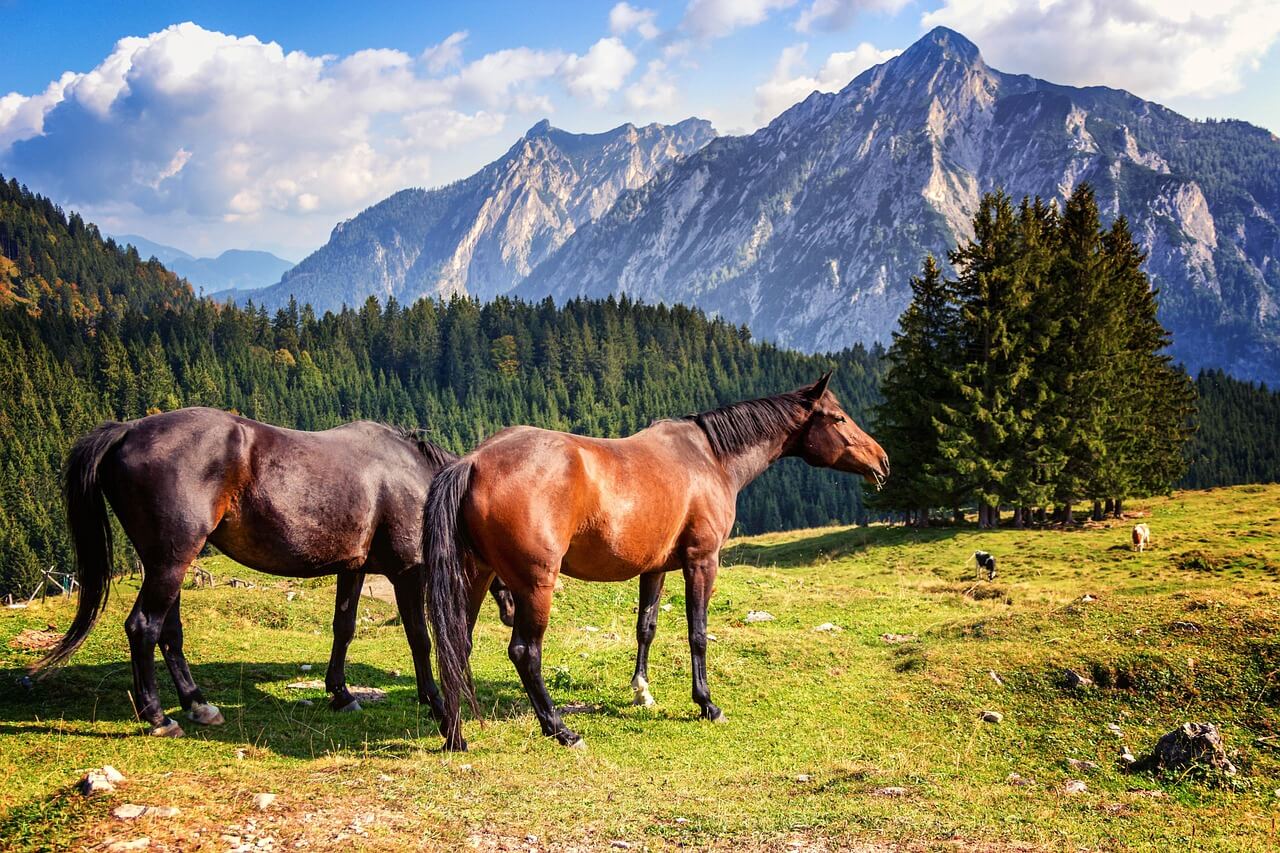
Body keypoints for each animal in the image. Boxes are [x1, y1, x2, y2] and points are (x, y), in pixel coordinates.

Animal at [30, 407, 506, 737]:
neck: (415, 478)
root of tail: (126, 430)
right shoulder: (407, 572)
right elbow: (419, 639)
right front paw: (436, 704)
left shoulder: (353, 570)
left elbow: (344, 629)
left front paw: (341, 694)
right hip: (169, 562)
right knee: (143, 627)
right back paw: (159, 717)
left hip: (167, 564)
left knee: (169, 633)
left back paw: (197, 703)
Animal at [424, 372, 889, 750]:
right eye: (838, 418)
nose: (882, 460)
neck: (709, 458)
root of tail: (474, 461)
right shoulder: (702, 561)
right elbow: (698, 633)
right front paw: (706, 704)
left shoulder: (655, 568)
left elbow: (645, 628)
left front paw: (641, 692)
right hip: (534, 585)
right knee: (525, 652)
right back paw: (560, 730)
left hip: (476, 576)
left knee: (458, 645)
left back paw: (455, 734)